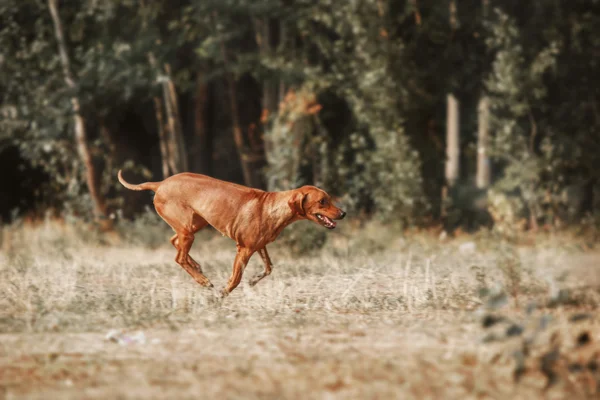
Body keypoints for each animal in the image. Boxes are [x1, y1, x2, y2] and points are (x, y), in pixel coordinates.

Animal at [117, 170, 344, 296]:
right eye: (322, 201)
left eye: (329, 198)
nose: (343, 213)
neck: (271, 207)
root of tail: (160, 184)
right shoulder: (244, 249)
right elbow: (235, 279)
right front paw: (223, 293)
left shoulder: (259, 246)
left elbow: (269, 268)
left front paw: (253, 280)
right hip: (188, 230)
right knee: (178, 257)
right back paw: (202, 280)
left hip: (194, 225)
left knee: (174, 242)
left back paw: (197, 267)